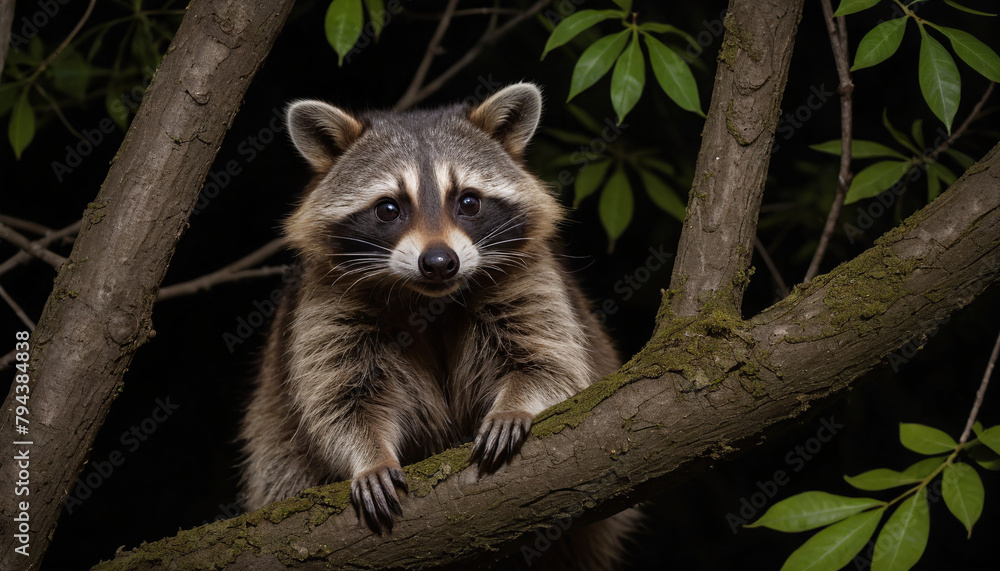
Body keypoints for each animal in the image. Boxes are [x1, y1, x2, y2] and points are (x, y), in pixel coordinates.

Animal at [239, 83, 636, 568]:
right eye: (388, 209)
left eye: (468, 201)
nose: (440, 262)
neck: (429, 298)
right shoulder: (325, 303)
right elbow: (340, 399)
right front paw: (368, 455)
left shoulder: (527, 276)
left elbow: (549, 361)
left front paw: (515, 404)